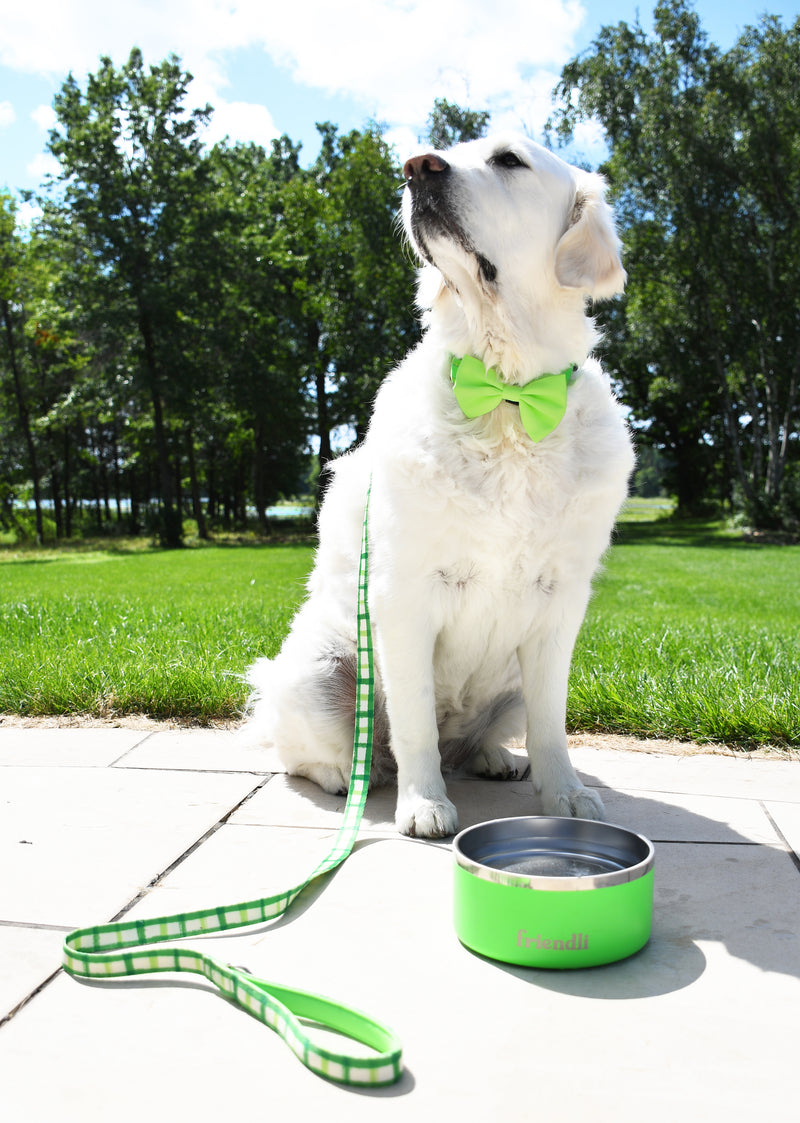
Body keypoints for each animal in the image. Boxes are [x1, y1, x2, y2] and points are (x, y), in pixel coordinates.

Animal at [247, 133, 633, 835]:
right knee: (317, 753)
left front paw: (565, 797)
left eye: (508, 160)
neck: (507, 401)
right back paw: (350, 777)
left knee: (479, 738)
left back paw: (493, 758)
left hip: (504, 684)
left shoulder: (560, 602)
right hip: (317, 669)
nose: (414, 167)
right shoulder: (404, 596)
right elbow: (415, 723)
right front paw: (425, 805)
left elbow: (552, 725)